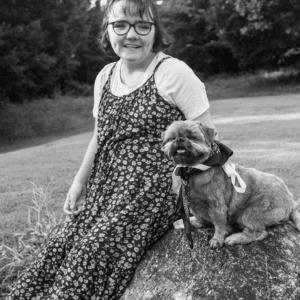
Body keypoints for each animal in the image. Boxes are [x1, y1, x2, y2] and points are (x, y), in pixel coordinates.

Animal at [162, 120, 300, 247]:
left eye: (192, 136)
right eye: (171, 138)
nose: (179, 139)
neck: (193, 170)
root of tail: (292, 203)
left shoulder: (217, 206)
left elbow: (219, 225)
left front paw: (217, 239)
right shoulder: (192, 203)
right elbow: (200, 218)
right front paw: (195, 222)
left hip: (250, 212)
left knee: (257, 232)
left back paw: (236, 238)